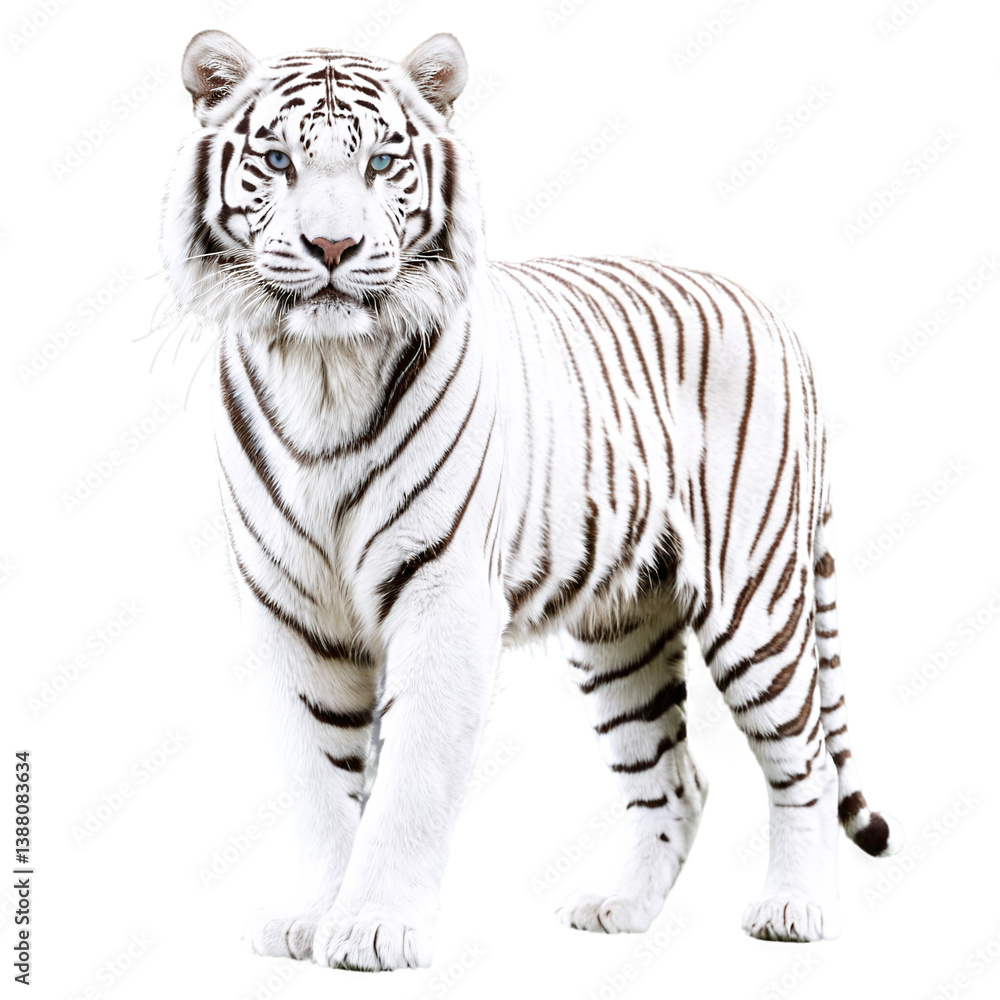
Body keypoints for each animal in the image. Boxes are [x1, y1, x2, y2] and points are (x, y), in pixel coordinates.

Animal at [162, 28, 901, 971]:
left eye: (381, 162)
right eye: (278, 160)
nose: (331, 246)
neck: (323, 369)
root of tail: (778, 317)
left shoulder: (444, 596)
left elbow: (410, 780)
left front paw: (373, 928)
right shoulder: (294, 611)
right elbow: (321, 776)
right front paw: (313, 917)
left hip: (756, 602)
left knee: (803, 757)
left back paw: (793, 909)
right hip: (624, 626)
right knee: (676, 780)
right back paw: (620, 910)